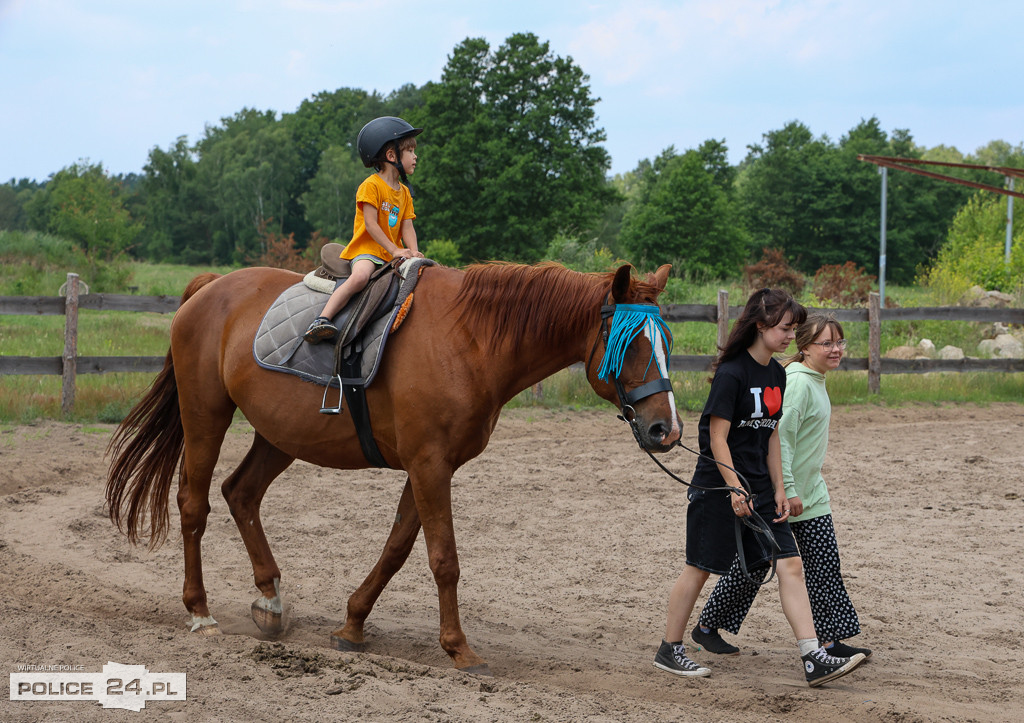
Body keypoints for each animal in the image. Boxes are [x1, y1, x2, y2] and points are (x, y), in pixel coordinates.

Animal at [105, 259, 679, 671]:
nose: (666, 430)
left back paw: (270, 602)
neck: (471, 340)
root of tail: (211, 287)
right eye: (629, 343)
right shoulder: (429, 465)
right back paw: (200, 611)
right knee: (194, 504)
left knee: (240, 493)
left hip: (281, 434)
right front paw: (459, 648)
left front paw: (352, 626)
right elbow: (444, 559)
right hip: (206, 414)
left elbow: (397, 549)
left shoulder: (429, 466)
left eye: (667, 343)